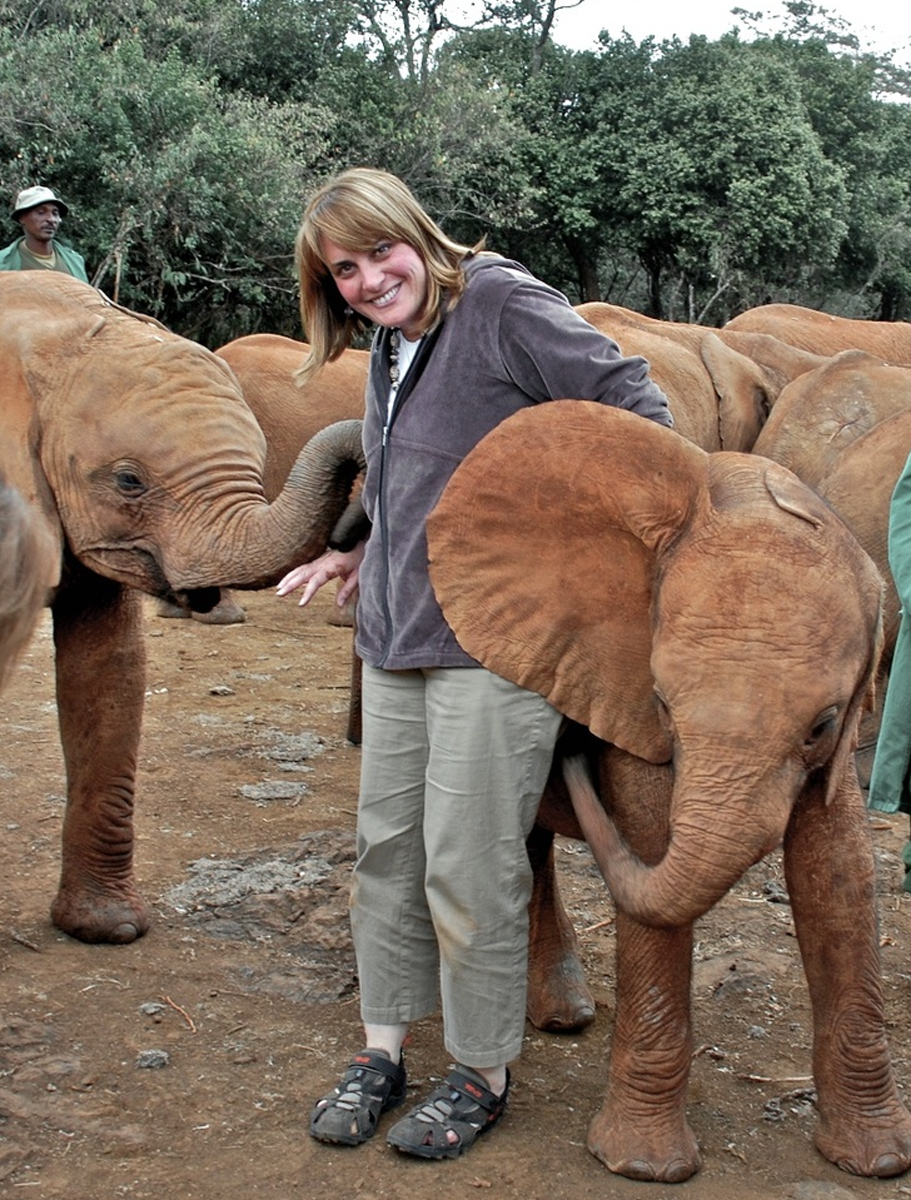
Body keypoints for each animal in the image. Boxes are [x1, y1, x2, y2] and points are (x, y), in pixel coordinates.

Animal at [426, 401, 911, 1181]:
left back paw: (562, 1015)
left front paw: (878, 1159)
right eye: (660, 704)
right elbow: (651, 839)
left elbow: (836, 874)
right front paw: (642, 1167)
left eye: (821, 724)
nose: (573, 754)